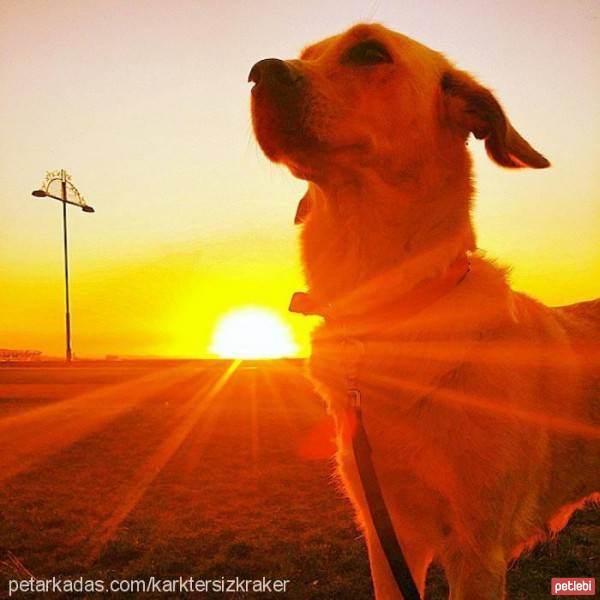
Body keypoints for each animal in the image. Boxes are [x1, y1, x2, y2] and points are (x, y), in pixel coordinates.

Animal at [247, 23, 596, 600]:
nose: (258, 72)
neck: (385, 315)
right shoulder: (388, 534)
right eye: (308, 55)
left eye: (369, 52)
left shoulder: (477, 549)